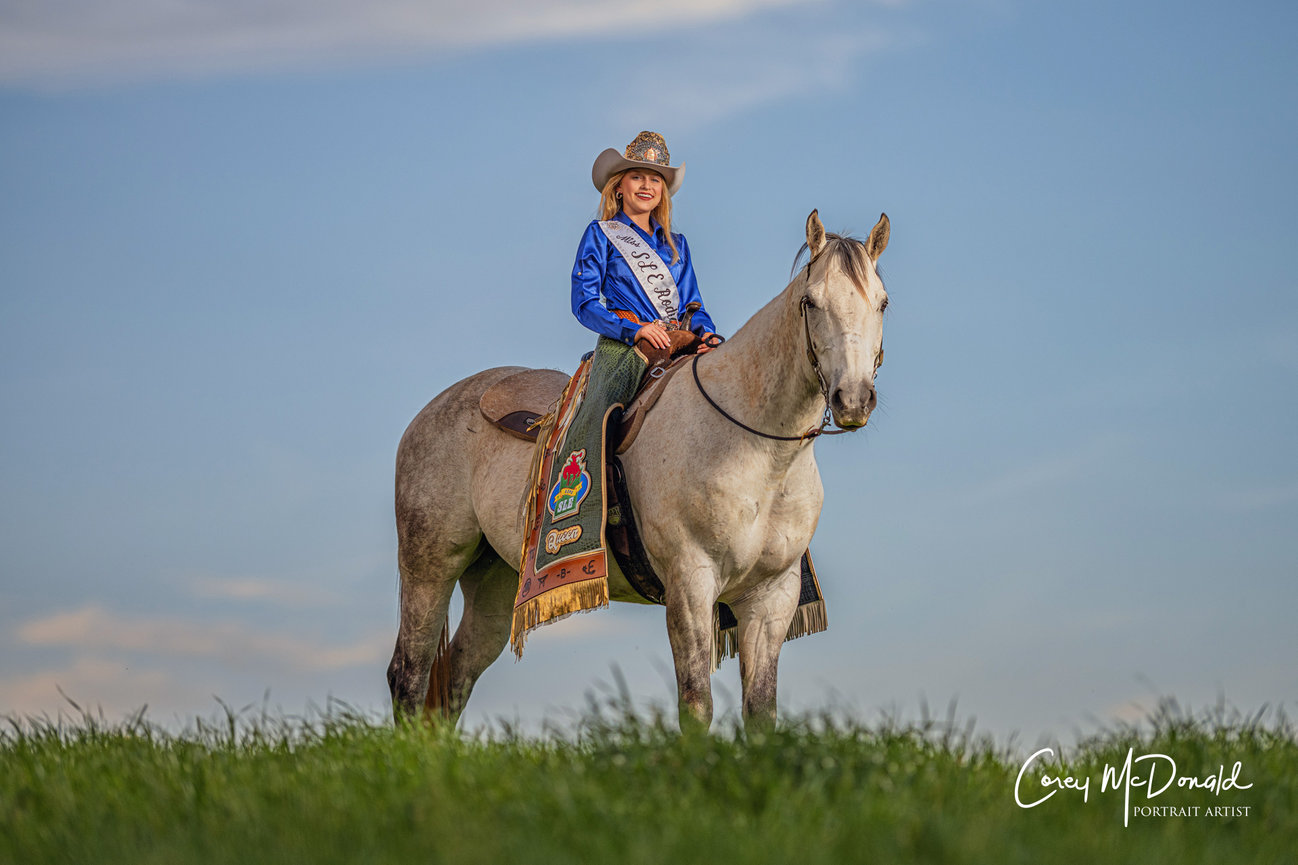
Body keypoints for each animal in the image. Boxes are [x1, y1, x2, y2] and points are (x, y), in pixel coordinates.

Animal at [388, 209, 890, 731]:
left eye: (882, 303)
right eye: (811, 302)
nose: (854, 399)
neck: (756, 451)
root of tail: (432, 412)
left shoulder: (771, 597)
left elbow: (760, 711)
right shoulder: (691, 584)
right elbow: (696, 703)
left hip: (495, 581)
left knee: (455, 678)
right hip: (431, 564)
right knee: (410, 673)